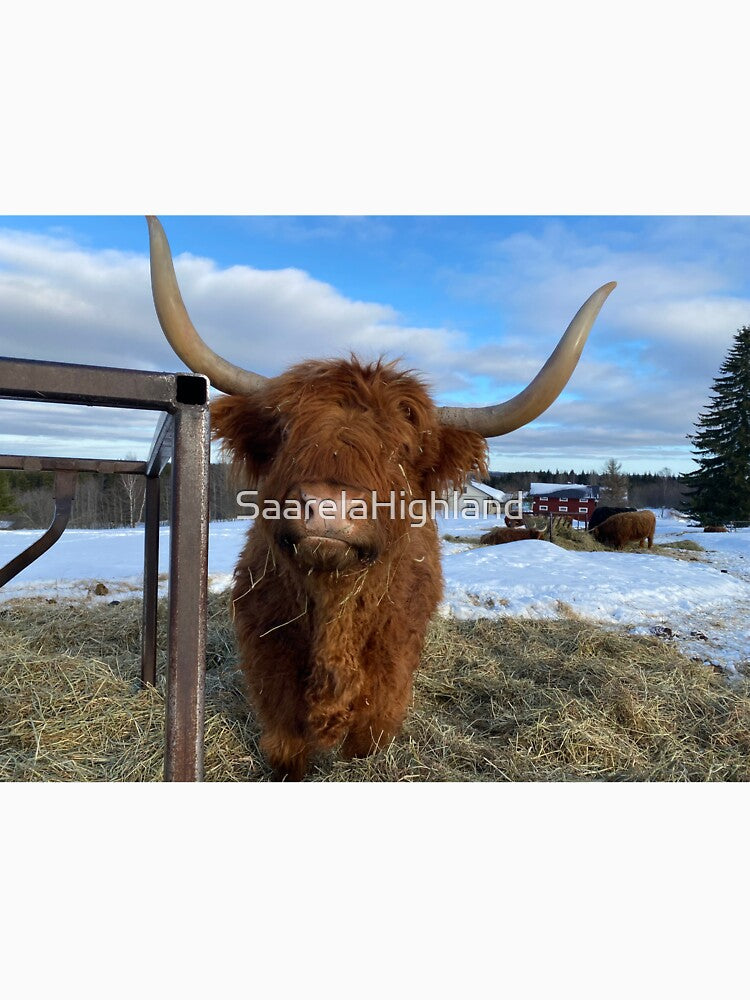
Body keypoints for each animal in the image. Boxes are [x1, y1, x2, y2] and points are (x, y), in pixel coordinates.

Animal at [146, 217, 615, 779]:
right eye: (286, 431)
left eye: (403, 449)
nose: (329, 505)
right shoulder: (270, 670)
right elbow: (285, 749)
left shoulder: (387, 680)